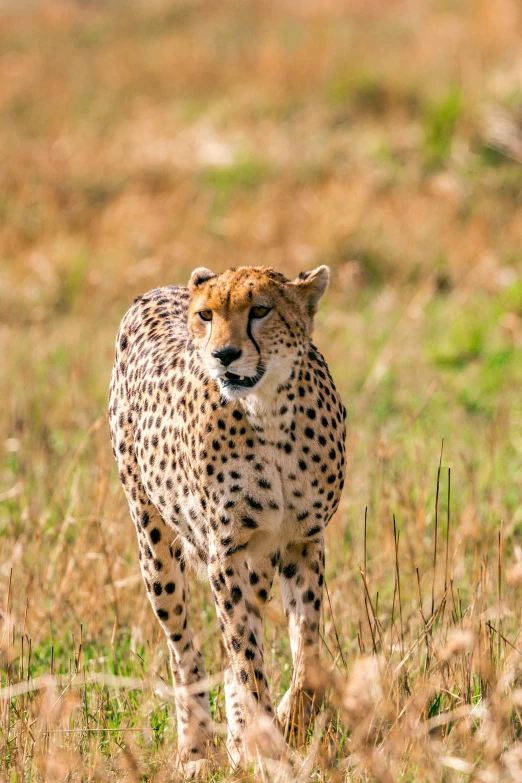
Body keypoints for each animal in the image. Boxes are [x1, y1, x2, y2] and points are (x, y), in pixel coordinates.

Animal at [108, 264, 346, 772]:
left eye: (260, 310)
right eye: (207, 315)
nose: (224, 355)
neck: (269, 411)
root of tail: (159, 288)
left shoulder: (301, 541)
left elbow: (307, 649)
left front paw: (288, 721)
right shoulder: (225, 552)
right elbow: (246, 656)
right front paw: (269, 745)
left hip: (257, 563)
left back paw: (238, 740)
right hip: (153, 545)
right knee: (183, 649)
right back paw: (197, 749)